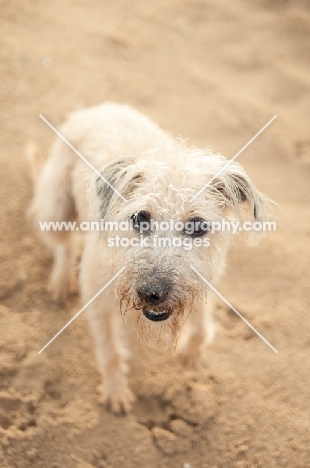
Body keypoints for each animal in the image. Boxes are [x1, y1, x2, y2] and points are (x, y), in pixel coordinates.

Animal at [27, 103, 268, 414]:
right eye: (140, 218)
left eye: (198, 226)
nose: (152, 293)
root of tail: (99, 107)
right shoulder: (96, 297)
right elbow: (110, 352)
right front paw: (116, 392)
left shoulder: (203, 281)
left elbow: (202, 327)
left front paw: (191, 356)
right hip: (55, 206)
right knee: (64, 246)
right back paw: (60, 281)